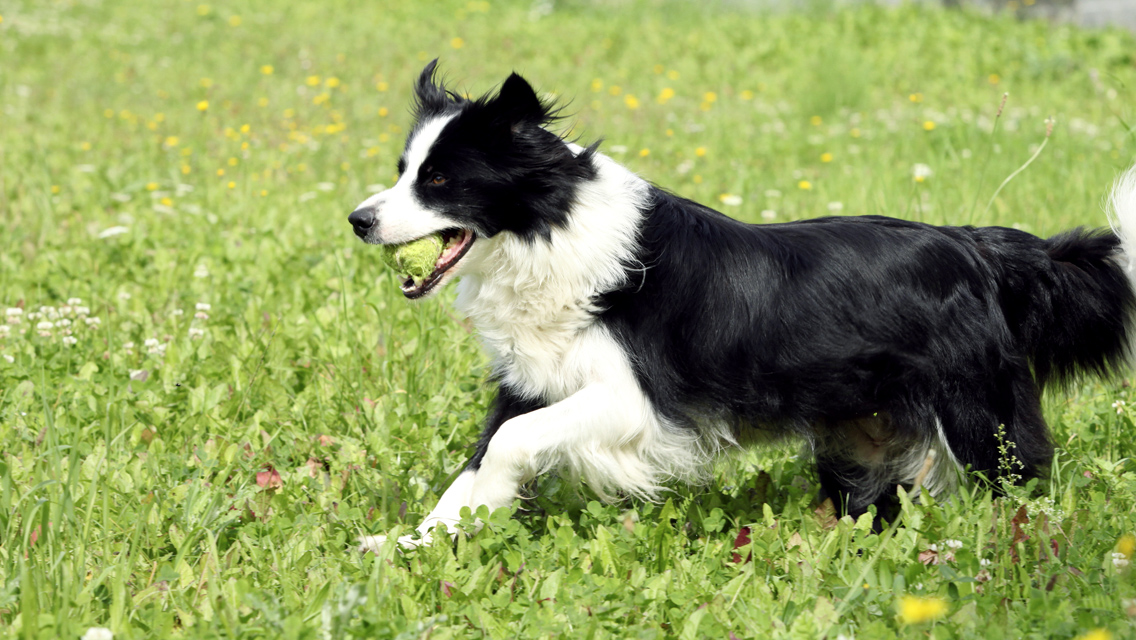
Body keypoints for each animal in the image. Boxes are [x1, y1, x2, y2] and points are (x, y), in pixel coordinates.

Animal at [347, 61, 1136, 550]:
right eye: (403, 171)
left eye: (440, 180)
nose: (357, 220)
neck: (551, 229)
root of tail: (984, 250)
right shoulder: (532, 380)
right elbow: (477, 463)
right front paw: (410, 543)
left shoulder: (635, 400)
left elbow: (512, 443)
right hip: (863, 437)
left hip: (978, 412)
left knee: (1020, 482)